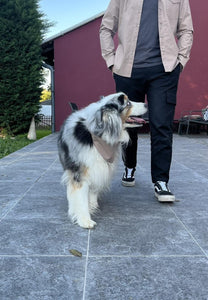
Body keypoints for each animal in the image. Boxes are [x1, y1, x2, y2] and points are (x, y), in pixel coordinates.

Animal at [57, 92, 147, 229]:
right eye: (128, 103)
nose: (146, 104)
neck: (101, 133)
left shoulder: (99, 167)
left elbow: (93, 189)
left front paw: (92, 205)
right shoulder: (80, 172)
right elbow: (80, 197)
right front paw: (85, 220)